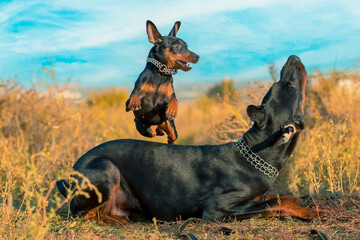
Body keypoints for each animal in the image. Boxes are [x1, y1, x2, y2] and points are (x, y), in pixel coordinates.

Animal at [56, 55, 324, 224]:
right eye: (287, 85)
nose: (293, 57)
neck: (257, 153)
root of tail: (68, 174)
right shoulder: (217, 208)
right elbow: (275, 203)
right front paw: (313, 212)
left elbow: (280, 197)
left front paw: (302, 200)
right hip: (107, 168)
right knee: (83, 214)